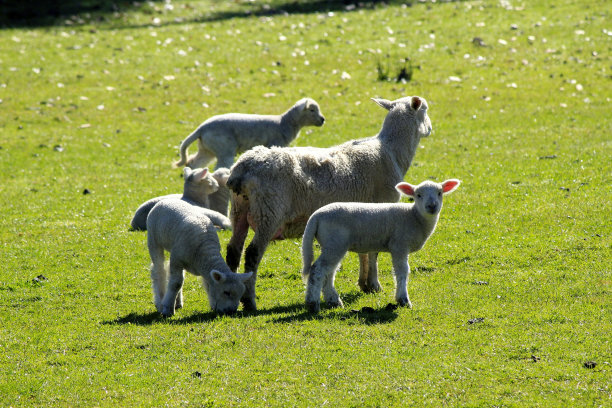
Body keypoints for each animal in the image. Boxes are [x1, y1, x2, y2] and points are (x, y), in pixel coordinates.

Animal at [172, 97, 326, 171]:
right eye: (312, 110)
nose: (323, 120)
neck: (284, 122)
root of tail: (201, 128)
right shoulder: (275, 143)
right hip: (224, 148)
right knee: (219, 168)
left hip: (207, 149)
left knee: (193, 163)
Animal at [227, 95, 432, 310]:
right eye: (425, 110)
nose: (430, 129)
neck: (390, 151)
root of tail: (243, 168)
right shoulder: (381, 209)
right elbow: (373, 252)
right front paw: (373, 284)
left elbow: (364, 251)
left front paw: (364, 284)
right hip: (269, 213)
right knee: (252, 254)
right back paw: (249, 301)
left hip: (239, 211)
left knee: (233, 251)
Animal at [302, 178, 460, 312]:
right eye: (418, 195)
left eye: (440, 193)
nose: (432, 206)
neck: (413, 216)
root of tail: (316, 216)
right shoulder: (399, 245)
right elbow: (402, 271)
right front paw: (403, 300)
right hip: (335, 242)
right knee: (318, 269)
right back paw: (312, 304)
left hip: (333, 244)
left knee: (329, 271)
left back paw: (333, 301)